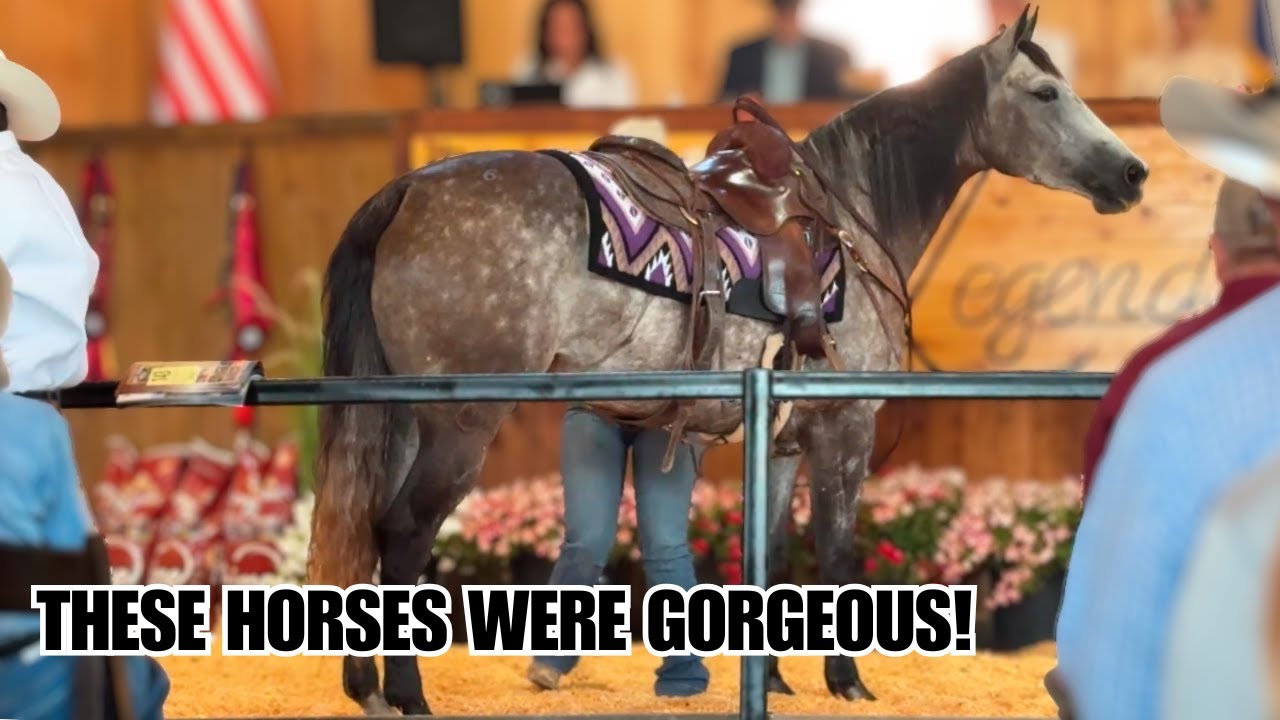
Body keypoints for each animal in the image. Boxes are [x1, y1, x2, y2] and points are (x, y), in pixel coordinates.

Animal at [310, 9, 1146, 715]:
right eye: (1045, 92)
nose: (1134, 173)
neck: (852, 211)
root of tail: (405, 190)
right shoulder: (845, 427)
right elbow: (836, 550)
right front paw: (848, 683)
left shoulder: (780, 441)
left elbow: (769, 550)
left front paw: (771, 681)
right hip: (460, 421)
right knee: (403, 534)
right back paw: (407, 696)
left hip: (400, 418)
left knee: (362, 526)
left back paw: (366, 688)